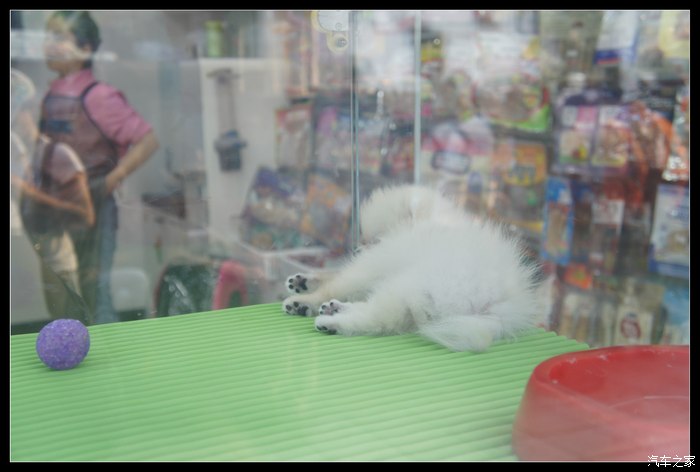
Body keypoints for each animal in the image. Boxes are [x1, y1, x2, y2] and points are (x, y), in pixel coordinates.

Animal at [282, 184, 543, 352]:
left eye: (374, 239)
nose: (357, 250)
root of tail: (503, 306)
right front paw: (305, 281)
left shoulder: (377, 262)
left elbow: (340, 283)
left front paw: (305, 299)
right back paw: (336, 309)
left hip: (414, 284)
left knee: (378, 318)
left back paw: (332, 323)